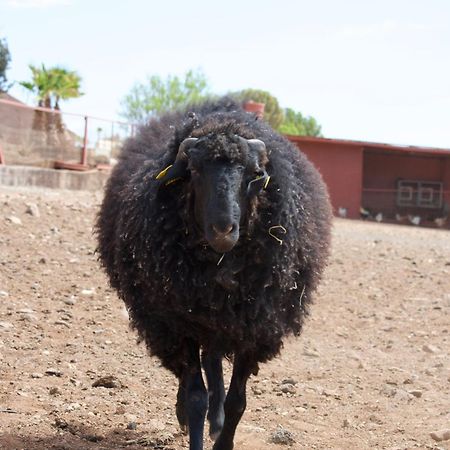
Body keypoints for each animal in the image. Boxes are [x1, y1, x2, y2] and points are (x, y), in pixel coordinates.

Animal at [96, 98, 332, 450]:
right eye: (194, 171)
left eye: (253, 174)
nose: (223, 228)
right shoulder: (181, 323)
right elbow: (197, 396)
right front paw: (194, 420)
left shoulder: (254, 328)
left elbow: (237, 401)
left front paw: (223, 434)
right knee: (195, 374)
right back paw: (189, 414)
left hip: (221, 323)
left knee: (214, 364)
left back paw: (217, 419)